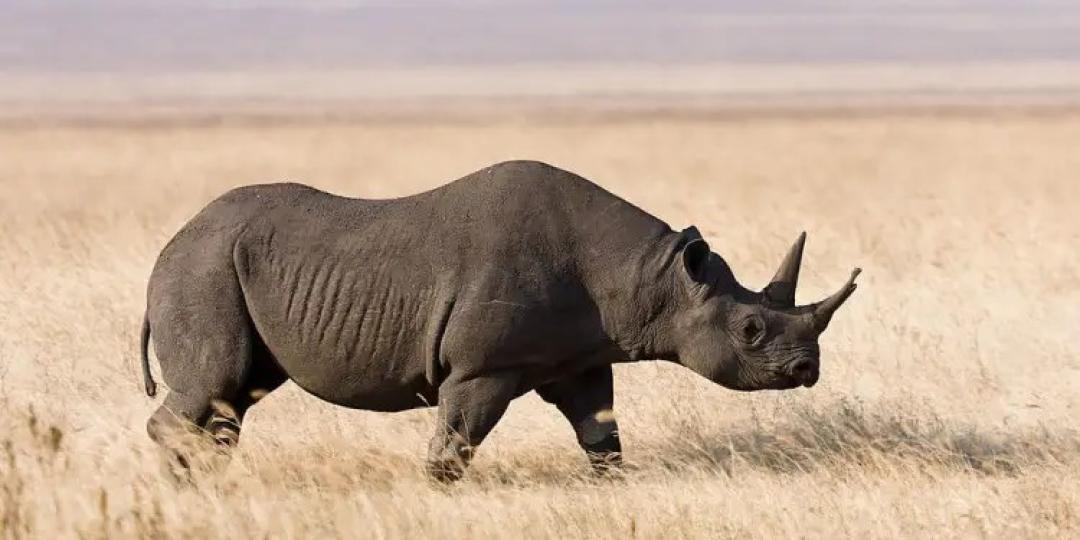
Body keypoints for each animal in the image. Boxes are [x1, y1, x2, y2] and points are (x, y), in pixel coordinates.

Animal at [140, 160, 859, 481]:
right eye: (750, 331)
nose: (807, 369)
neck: (652, 278)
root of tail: (168, 245)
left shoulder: (580, 356)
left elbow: (602, 434)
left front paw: (611, 485)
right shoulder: (484, 367)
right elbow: (455, 443)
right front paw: (438, 491)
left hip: (218, 266)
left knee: (237, 394)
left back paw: (208, 480)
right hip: (203, 269)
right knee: (217, 381)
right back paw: (187, 483)